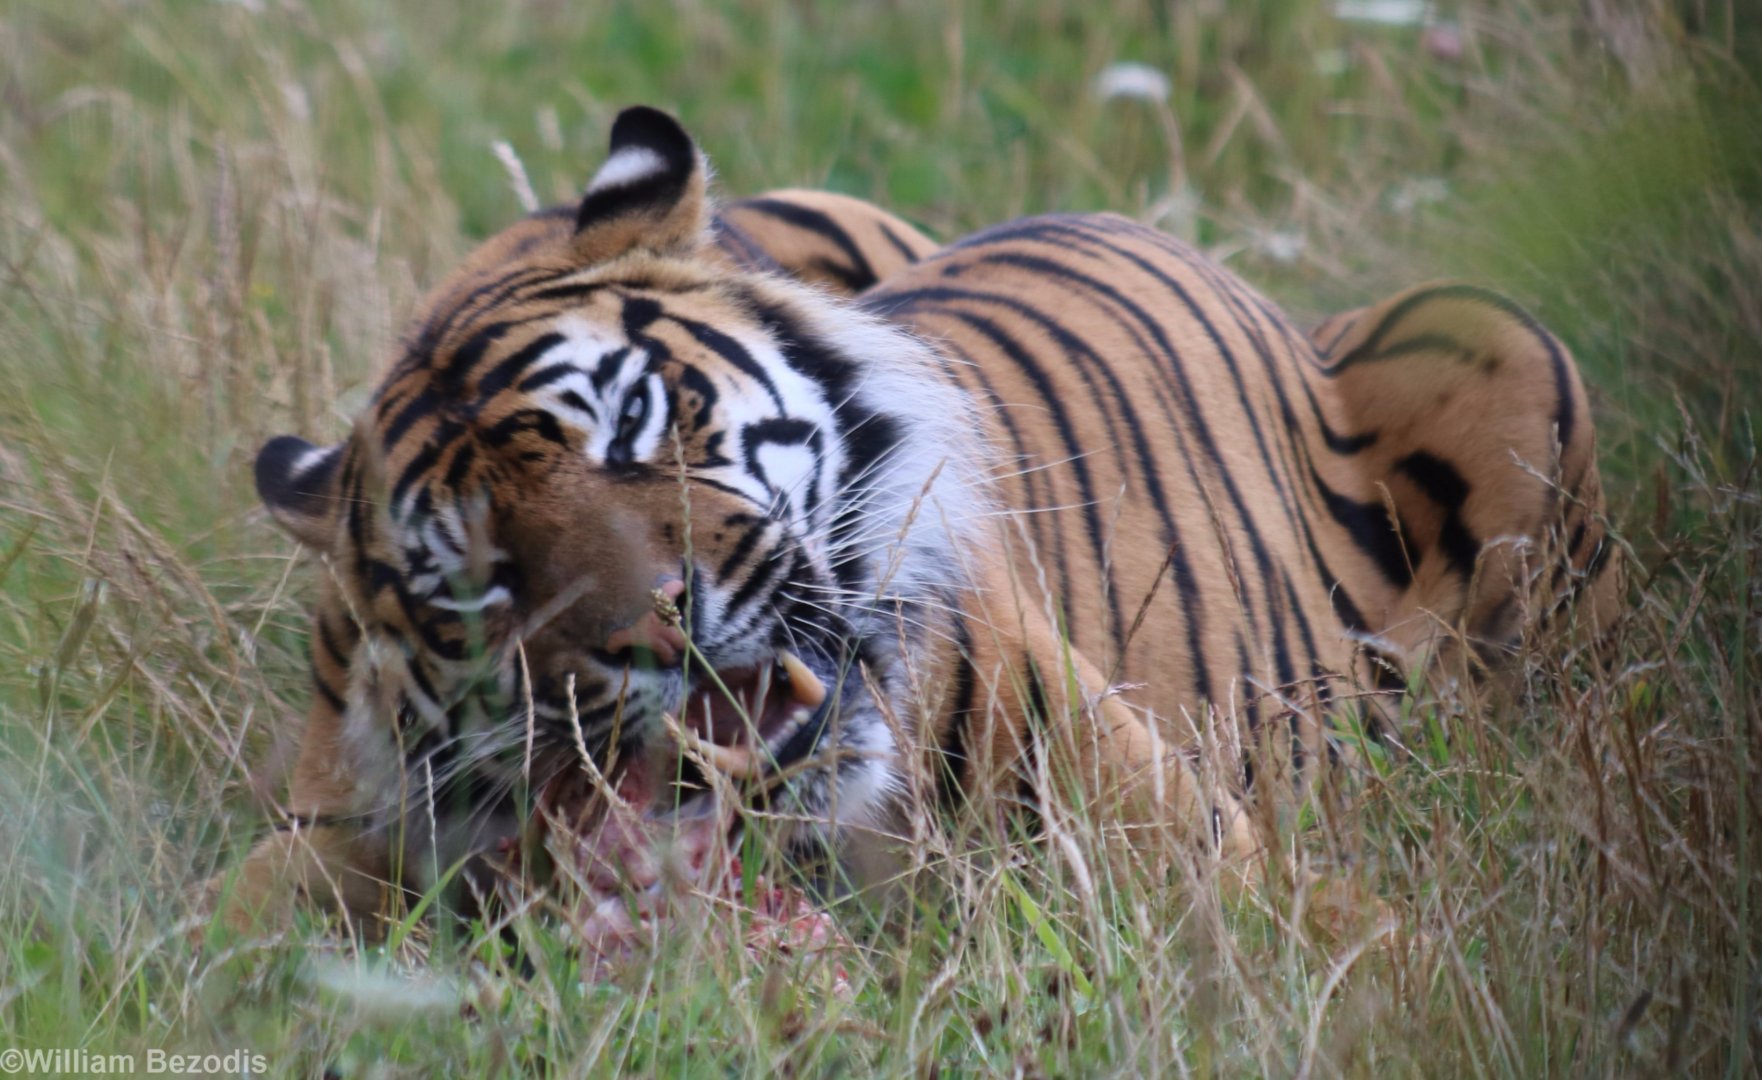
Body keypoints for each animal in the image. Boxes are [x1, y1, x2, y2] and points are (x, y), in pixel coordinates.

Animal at [223, 106, 1617, 930]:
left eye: (629, 421)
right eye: (478, 580)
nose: (651, 631)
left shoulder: (1210, 867)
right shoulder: (335, 822)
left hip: (1498, 347)